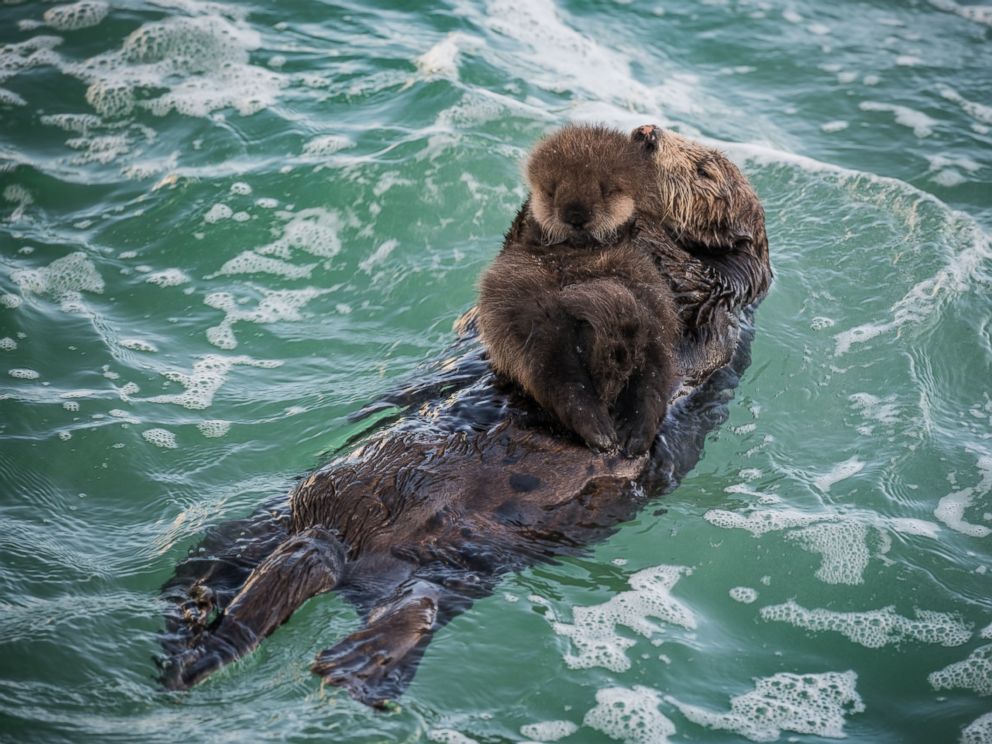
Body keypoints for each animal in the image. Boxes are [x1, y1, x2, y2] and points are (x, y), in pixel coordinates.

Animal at [478, 125, 680, 456]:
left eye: (606, 190)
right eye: (551, 190)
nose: (575, 214)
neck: (578, 251)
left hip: (650, 322)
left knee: (644, 379)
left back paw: (628, 433)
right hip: (538, 328)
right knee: (566, 379)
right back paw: (610, 432)